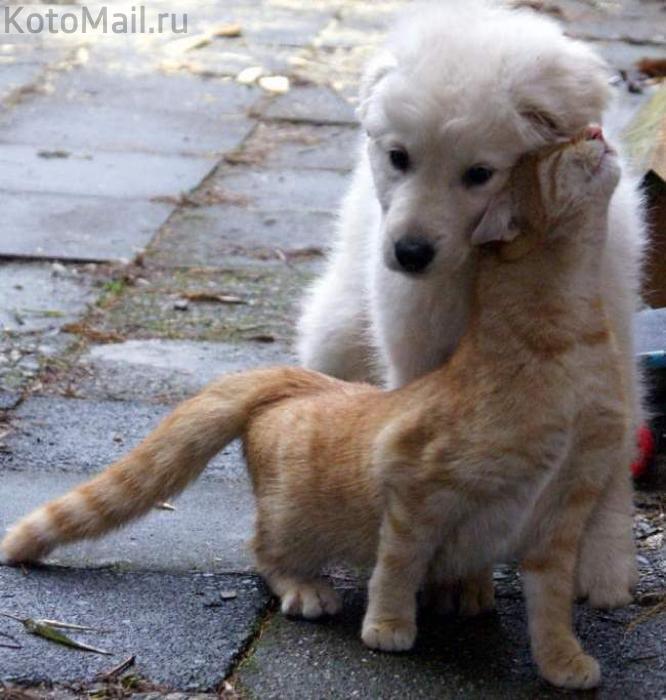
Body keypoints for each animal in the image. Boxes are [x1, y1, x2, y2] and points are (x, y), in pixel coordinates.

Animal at [2, 127, 627, 690]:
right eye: (555, 154)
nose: (597, 131)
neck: (573, 345)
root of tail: (300, 382)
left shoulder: (563, 514)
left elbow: (551, 607)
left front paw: (561, 661)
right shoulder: (416, 485)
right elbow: (397, 562)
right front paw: (388, 626)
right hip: (293, 520)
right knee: (263, 550)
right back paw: (305, 588)